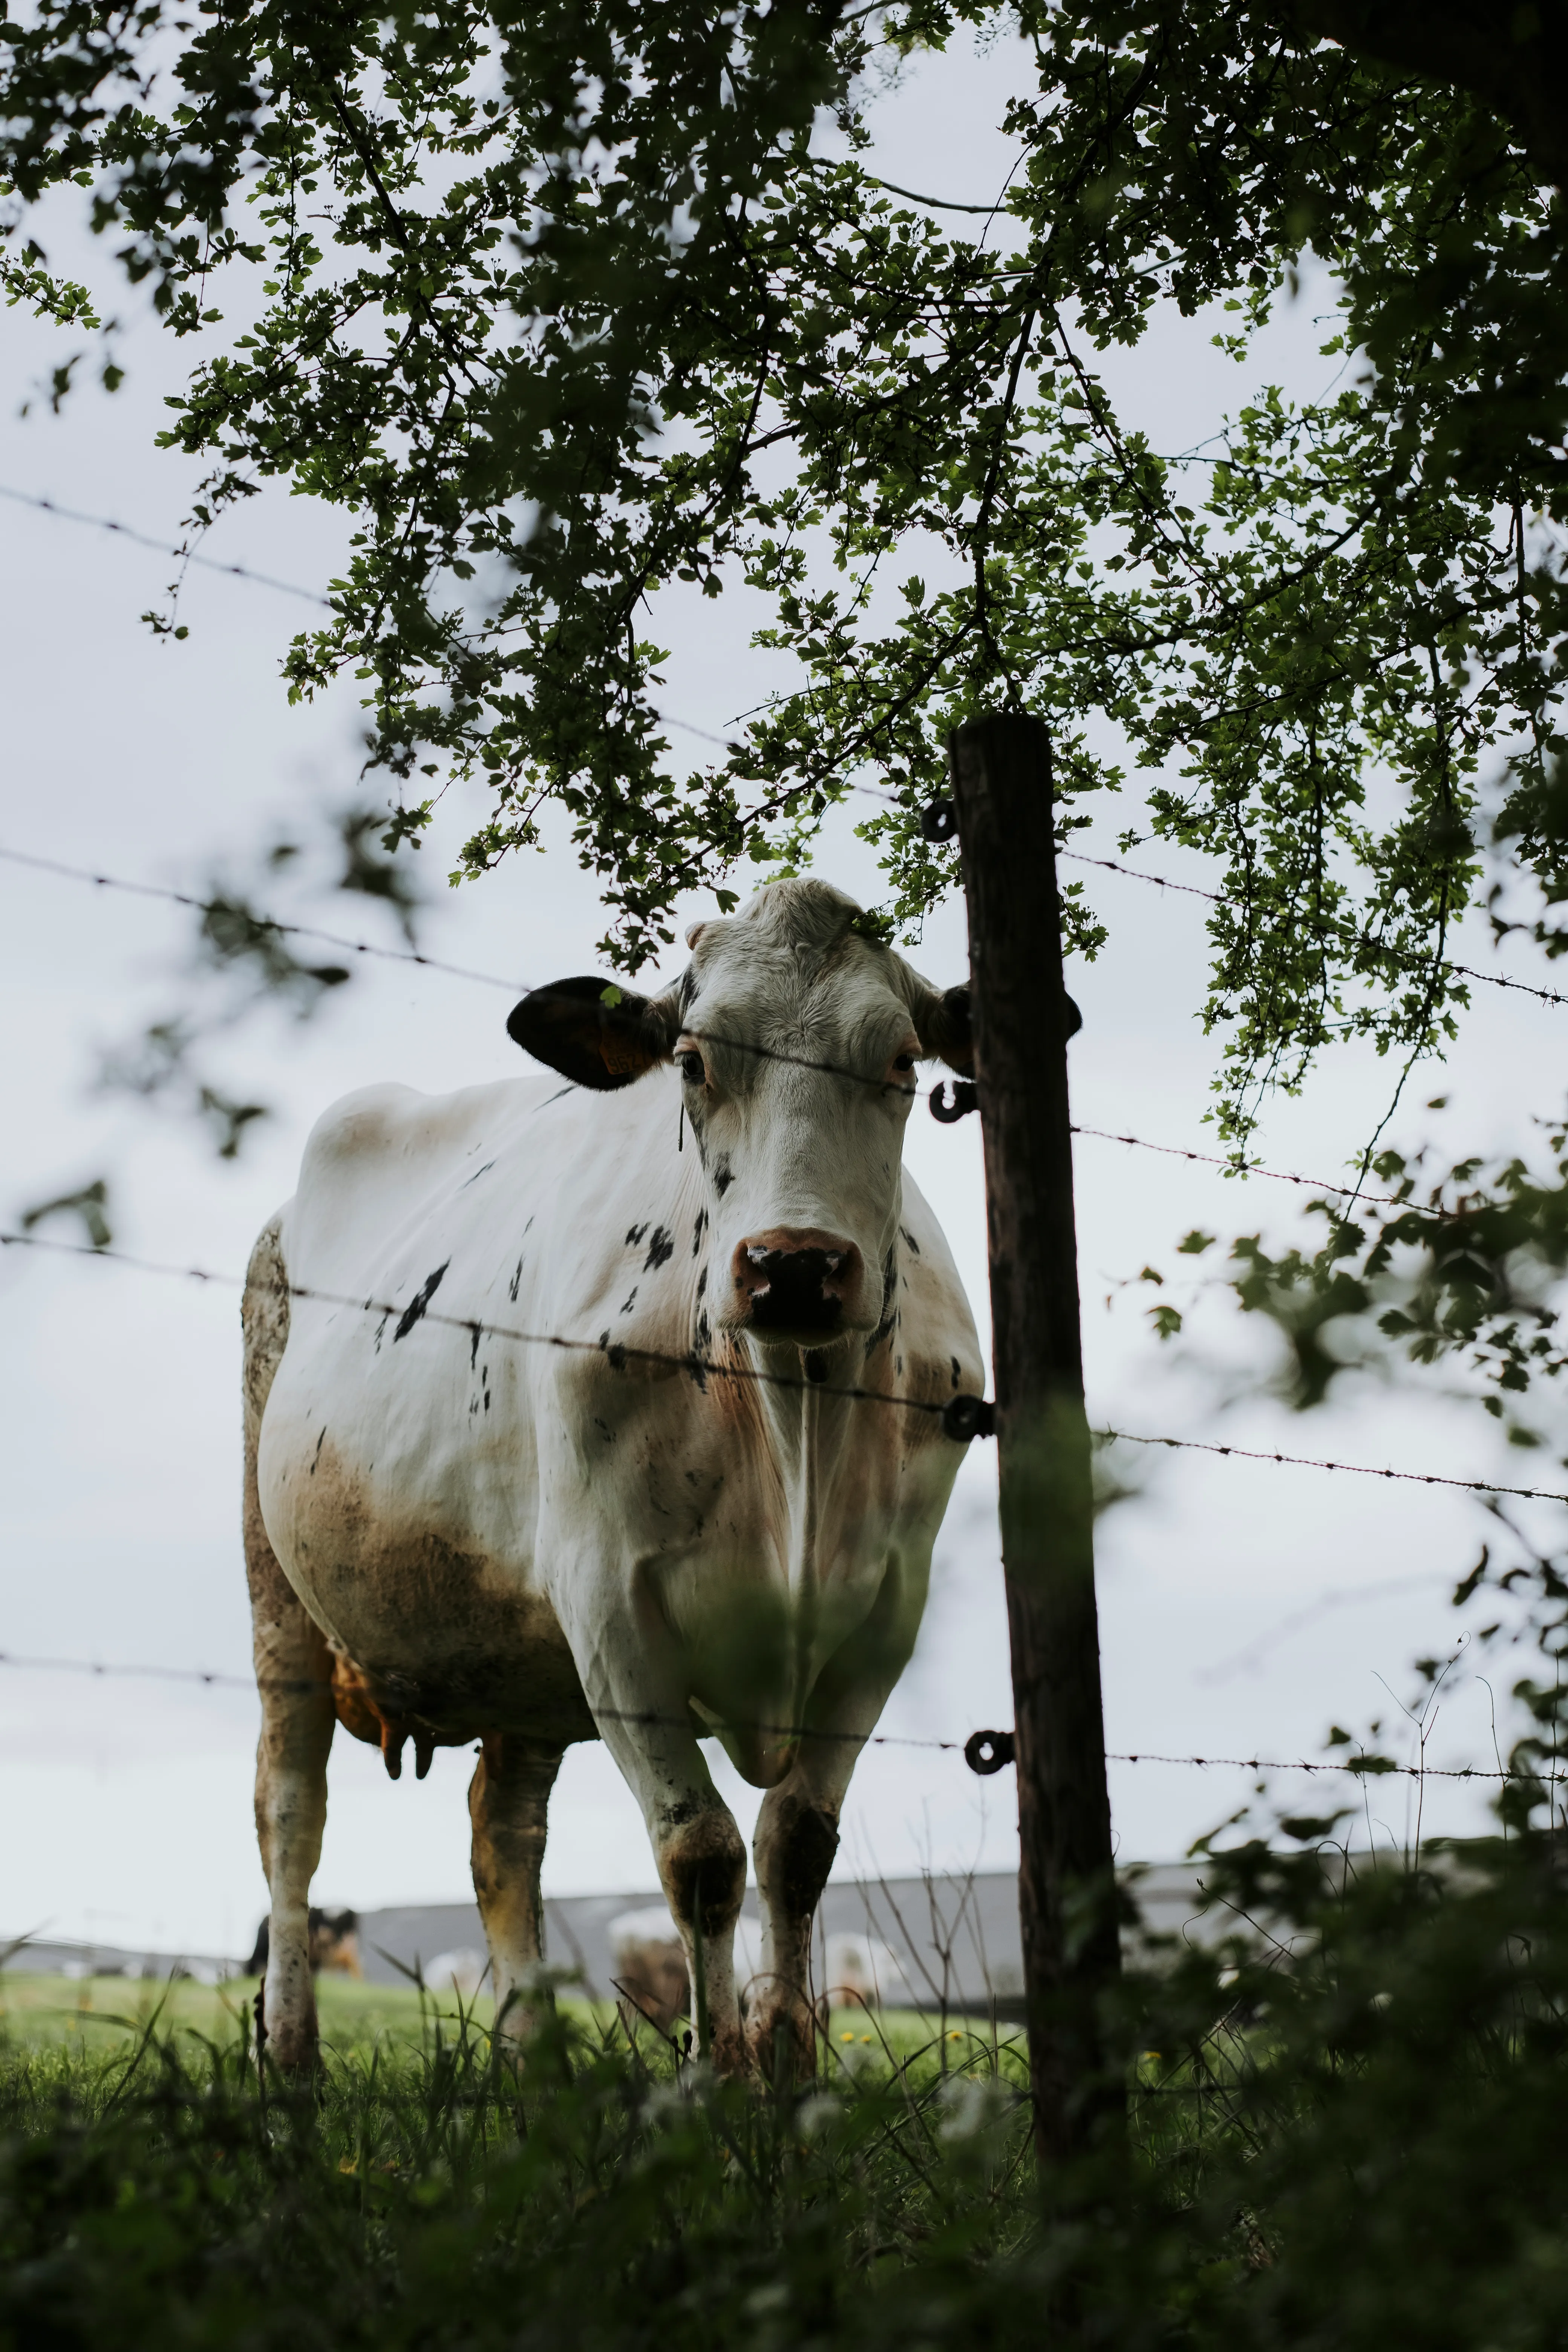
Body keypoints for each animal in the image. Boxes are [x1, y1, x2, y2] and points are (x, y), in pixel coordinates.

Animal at [242, 876, 984, 2076]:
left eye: (903, 1061)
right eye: (691, 1058)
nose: (794, 1266)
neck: (790, 1418)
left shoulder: (883, 1619)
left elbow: (796, 1848)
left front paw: (789, 2076)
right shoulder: (610, 1610)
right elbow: (703, 1856)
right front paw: (717, 2079)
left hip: (515, 1653)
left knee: (504, 1832)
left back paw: (533, 2067)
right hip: (280, 1595)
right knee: (290, 1816)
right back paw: (293, 2062)